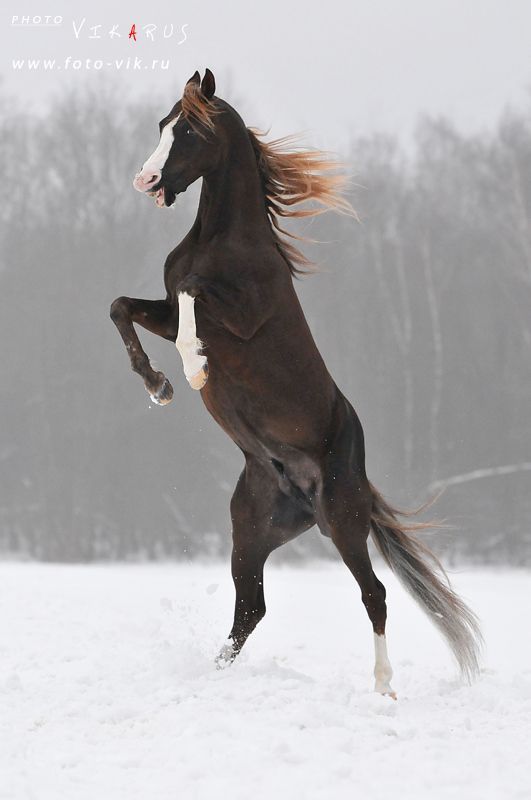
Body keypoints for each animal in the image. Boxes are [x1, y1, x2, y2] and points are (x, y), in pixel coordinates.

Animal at [110, 69, 482, 697]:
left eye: (189, 130)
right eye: (163, 124)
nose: (146, 180)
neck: (225, 241)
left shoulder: (234, 314)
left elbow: (190, 295)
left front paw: (192, 370)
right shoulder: (159, 309)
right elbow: (123, 307)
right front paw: (158, 385)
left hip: (343, 521)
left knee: (374, 593)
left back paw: (384, 688)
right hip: (254, 530)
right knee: (251, 607)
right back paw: (215, 673)